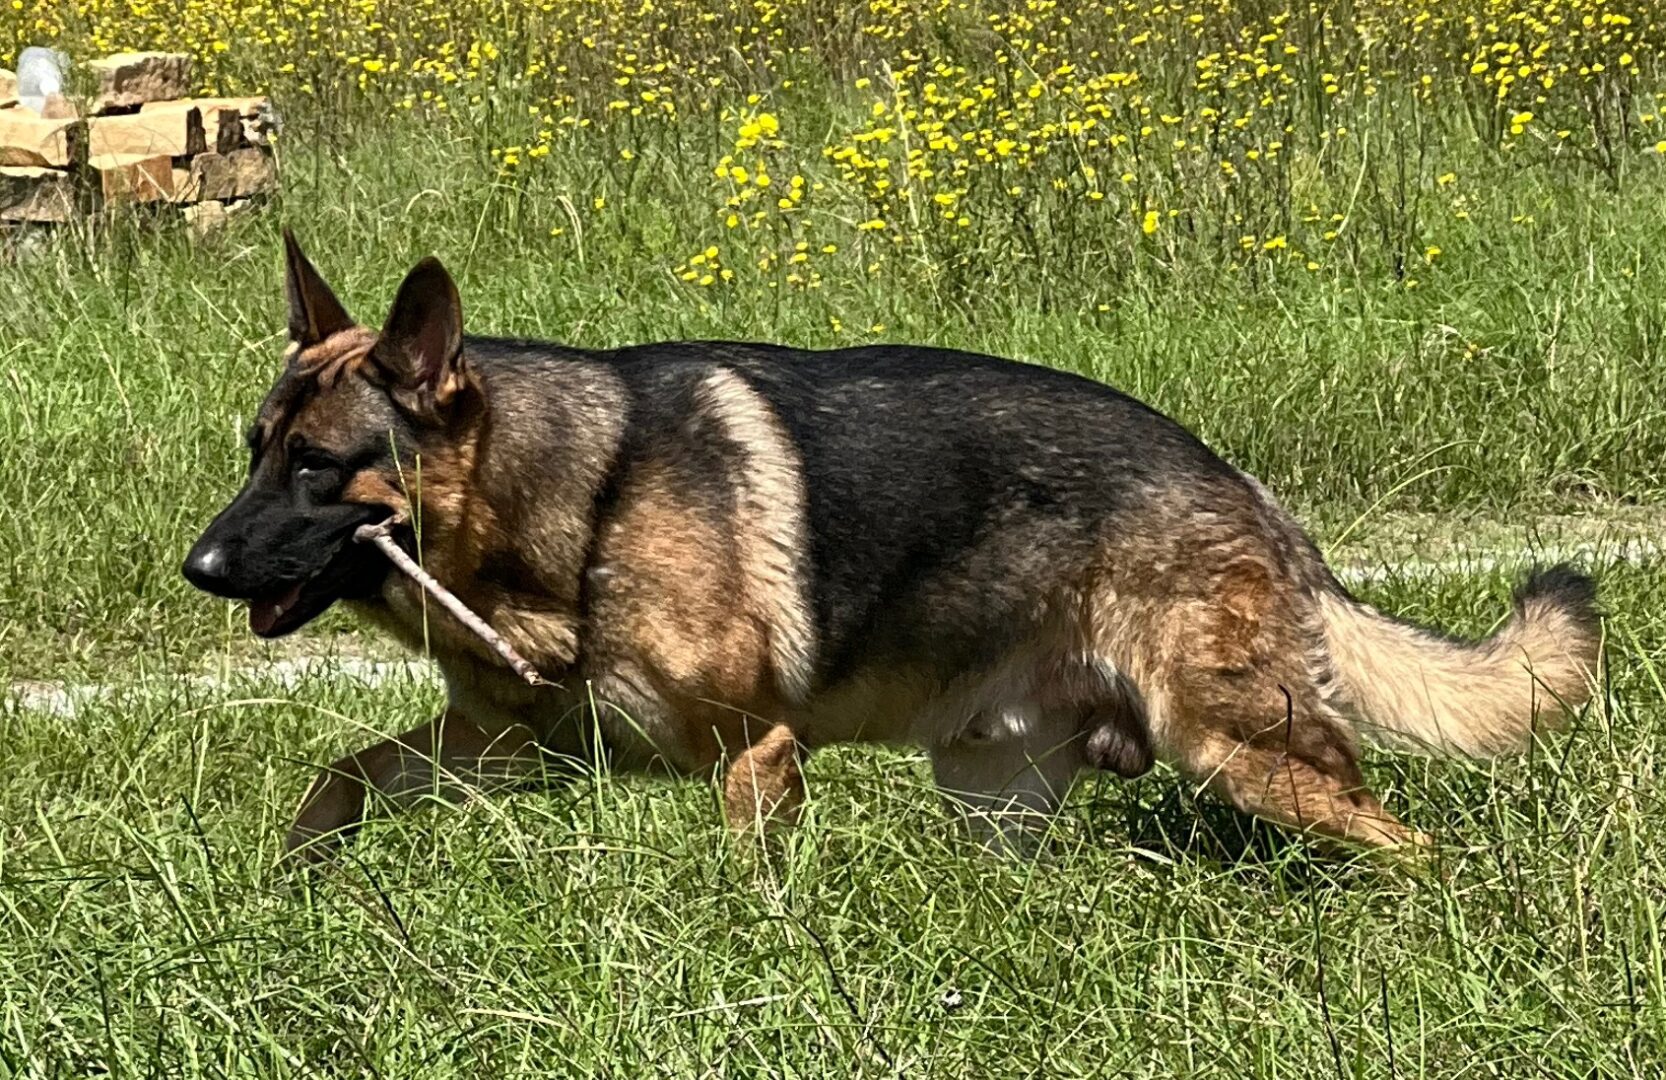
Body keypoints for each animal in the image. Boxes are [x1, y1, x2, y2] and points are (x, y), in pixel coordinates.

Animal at [182, 236, 1599, 860]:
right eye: (254, 449)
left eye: (315, 468)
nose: (197, 569)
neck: (576, 504)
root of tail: (1242, 485)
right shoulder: (508, 746)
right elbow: (343, 777)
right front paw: (292, 874)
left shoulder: (753, 757)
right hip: (994, 798)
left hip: (1242, 749)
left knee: (1400, 838)